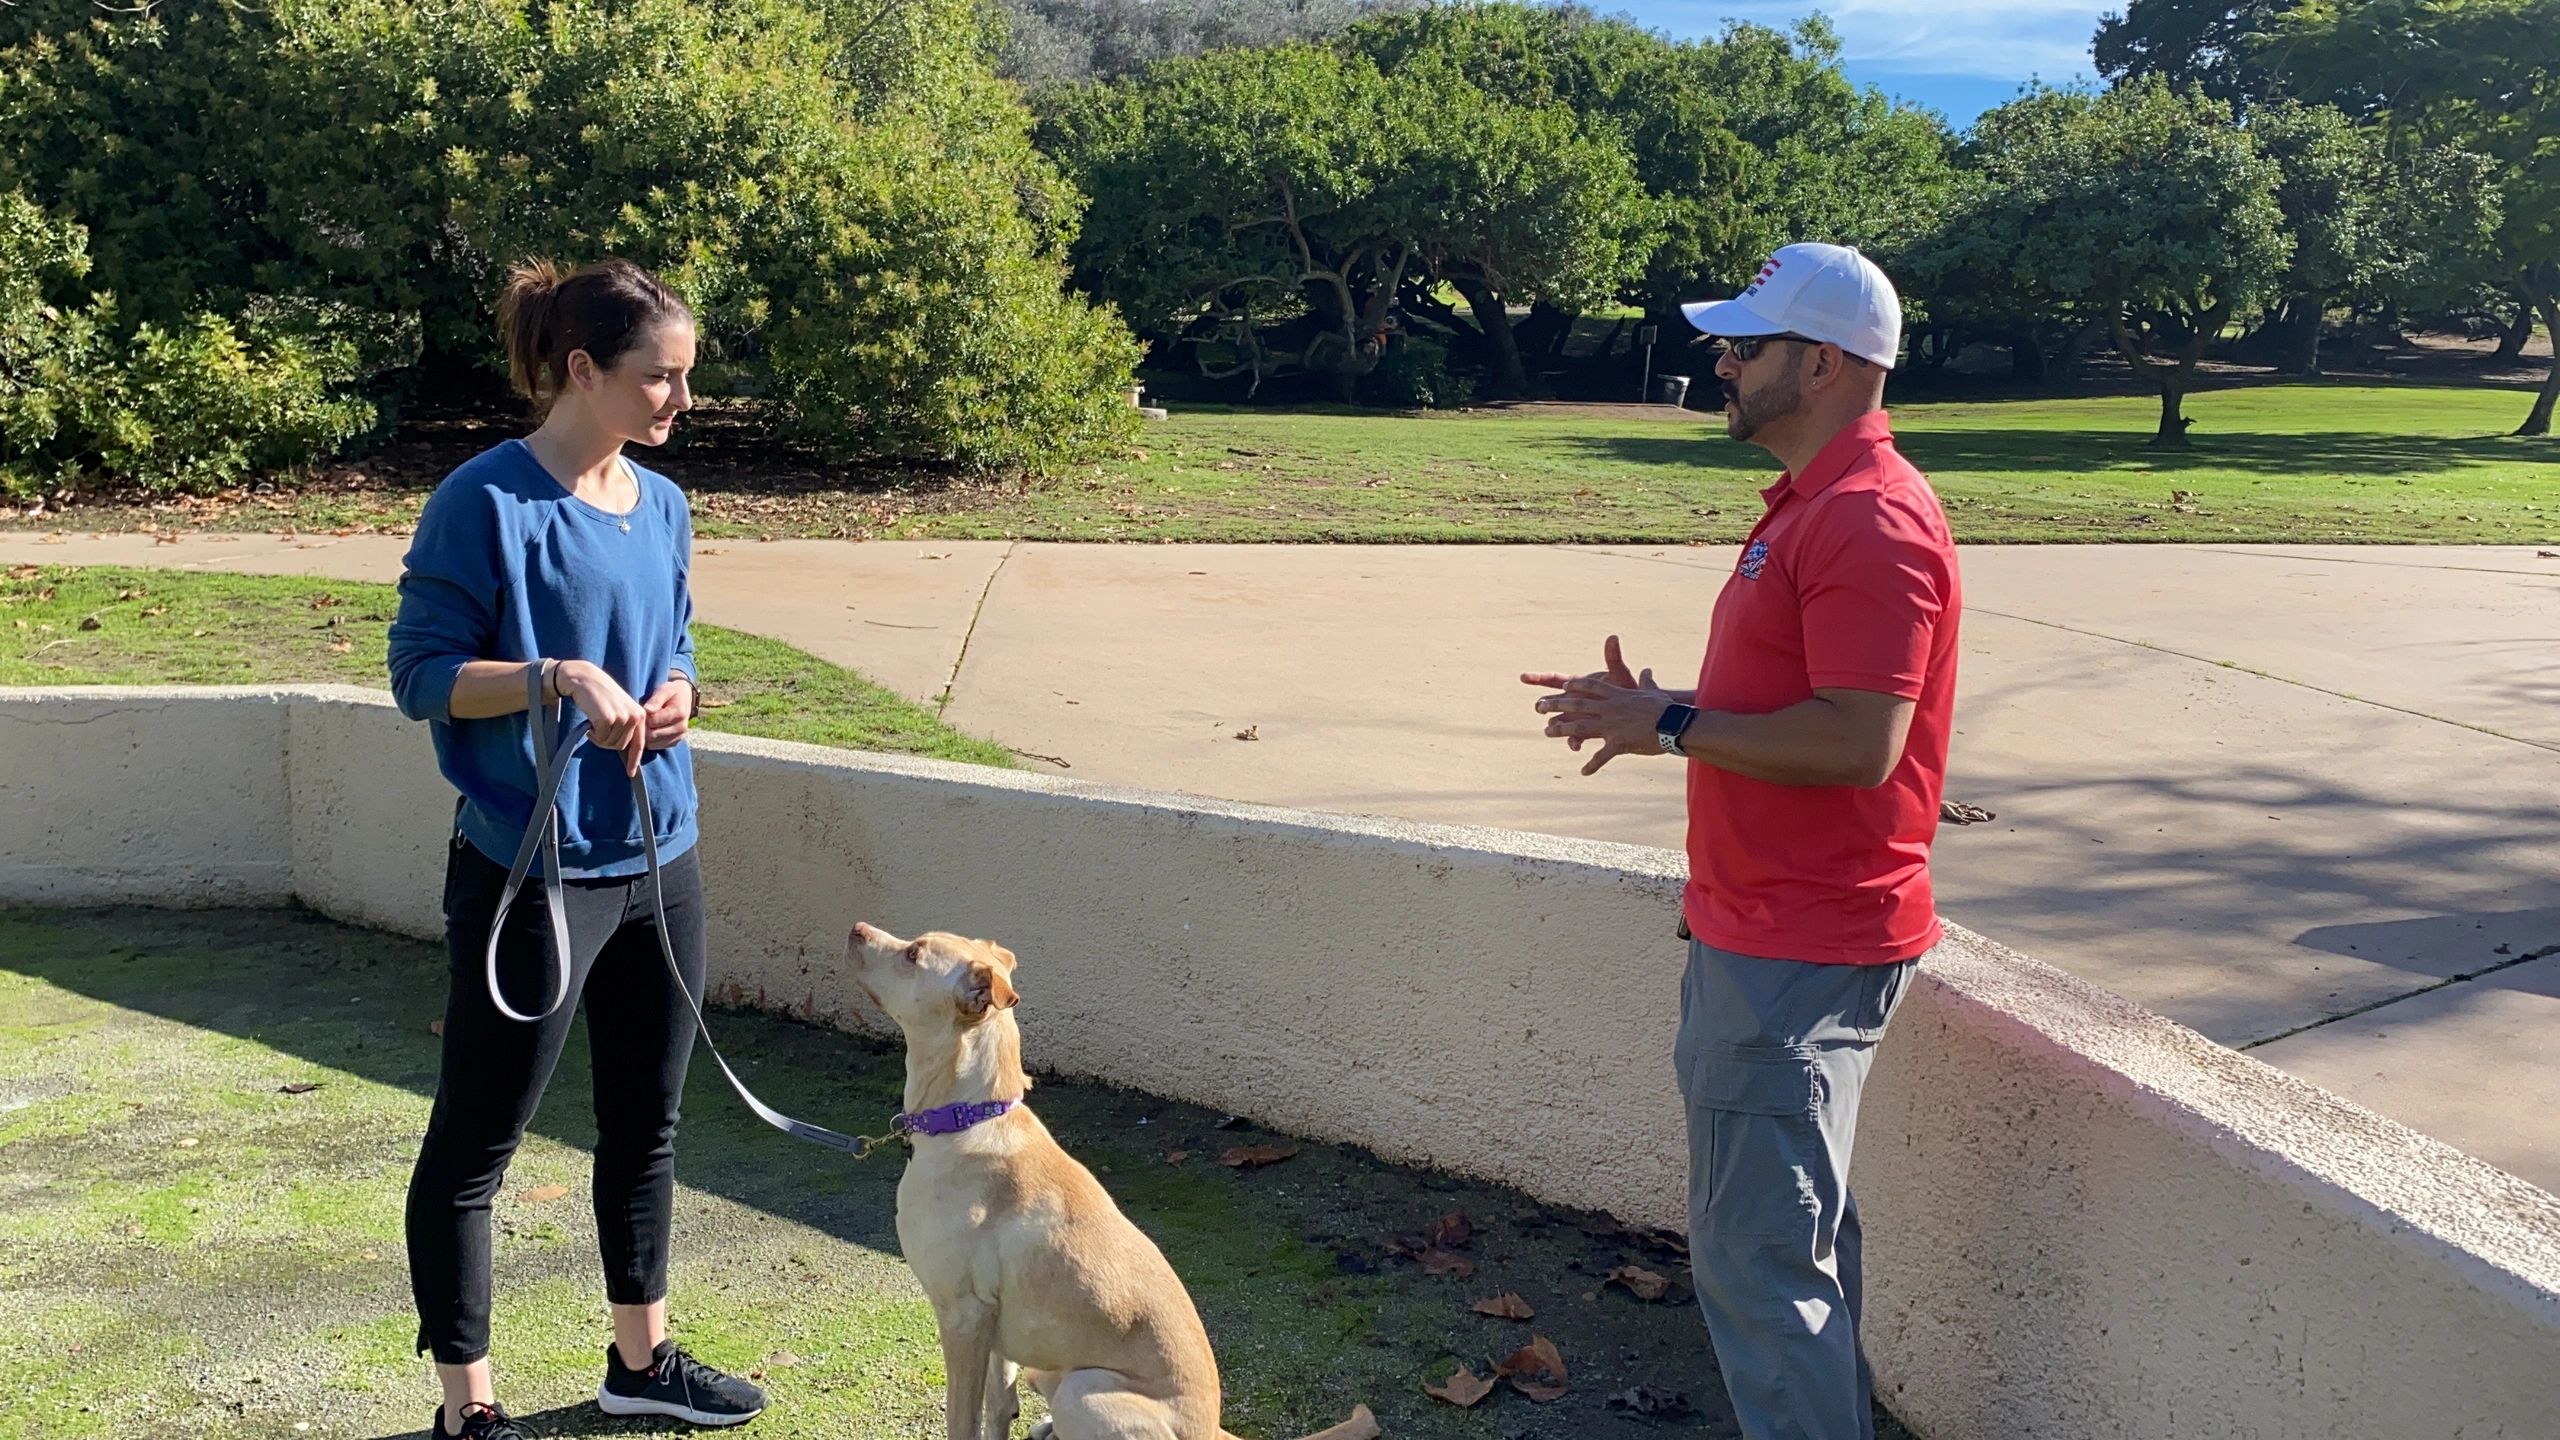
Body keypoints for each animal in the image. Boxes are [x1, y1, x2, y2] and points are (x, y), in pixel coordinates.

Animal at [849, 917, 1382, 1434]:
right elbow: (1000, 1408)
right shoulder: (994, 1331)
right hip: (1049, 1370)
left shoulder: (963, 1319)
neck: (971, 1117)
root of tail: (1216, 1431)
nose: (856, 928)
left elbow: (963, 1418)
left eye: (914, 953)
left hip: (1082, 1390)